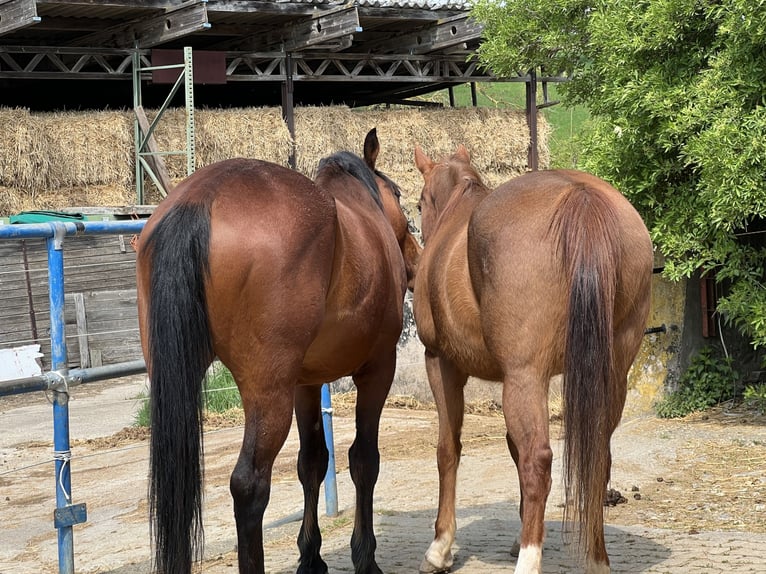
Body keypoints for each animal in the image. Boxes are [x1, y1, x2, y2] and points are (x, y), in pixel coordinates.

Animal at [135, 128, 421, 574]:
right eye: (398, 193)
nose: (416, 261)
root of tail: (200, 198)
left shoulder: (305, 383)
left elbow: (313, 462)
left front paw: (311, 556)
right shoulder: (377, 370)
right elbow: (363, 460)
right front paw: (364, 556)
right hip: (267, 392)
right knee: (249, 485)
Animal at [412, 145, 653, 574]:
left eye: (421, 202)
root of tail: (581, 199)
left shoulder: (441, 363)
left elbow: (448, 450)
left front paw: (440, 547)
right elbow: (511, 447)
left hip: (525, 377)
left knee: (537, 461)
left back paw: (529, 559)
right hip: (608, 375)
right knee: (598, 459)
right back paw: (596, 559)